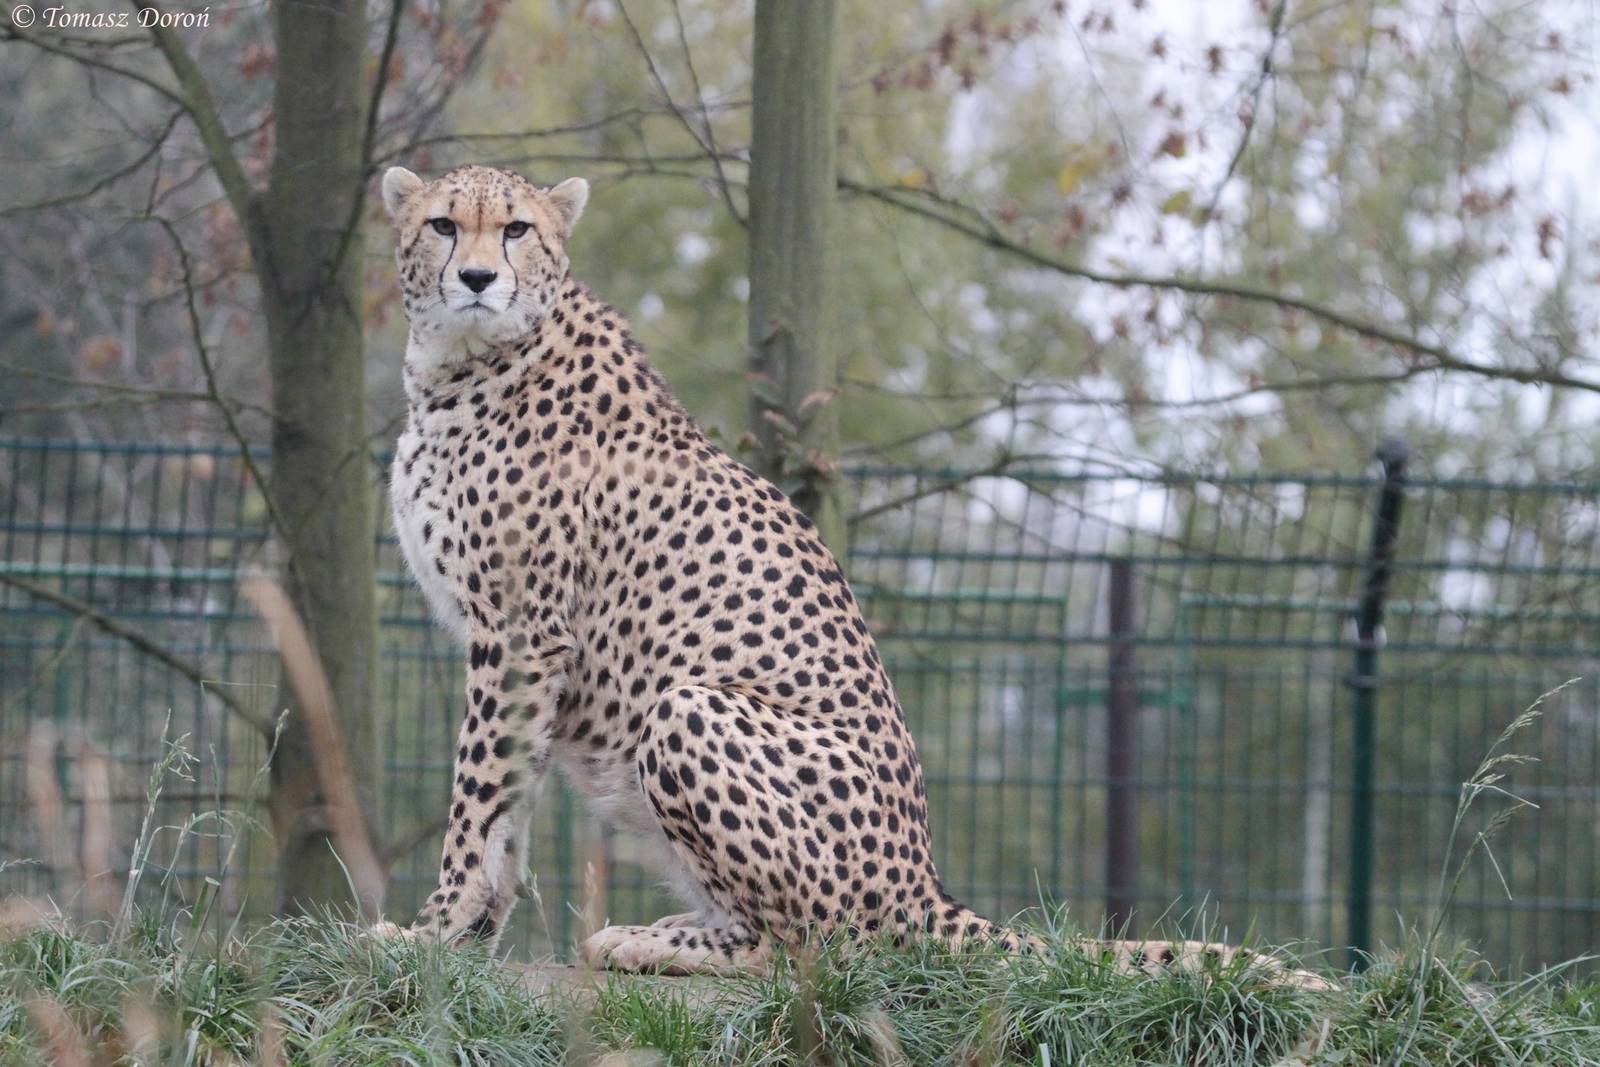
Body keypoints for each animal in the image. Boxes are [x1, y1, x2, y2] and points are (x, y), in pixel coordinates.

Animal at [374, 162, 1326, 987]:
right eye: (444, 225)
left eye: (518, 229)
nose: (476, 277)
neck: (466, 358)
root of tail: (925, 883)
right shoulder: (520, 645)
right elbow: (509, 806)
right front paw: (471, 934)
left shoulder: (521, 631)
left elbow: (477, 795)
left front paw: (431, 931)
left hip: (687, 709)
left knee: (818, 948)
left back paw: (659, 944)